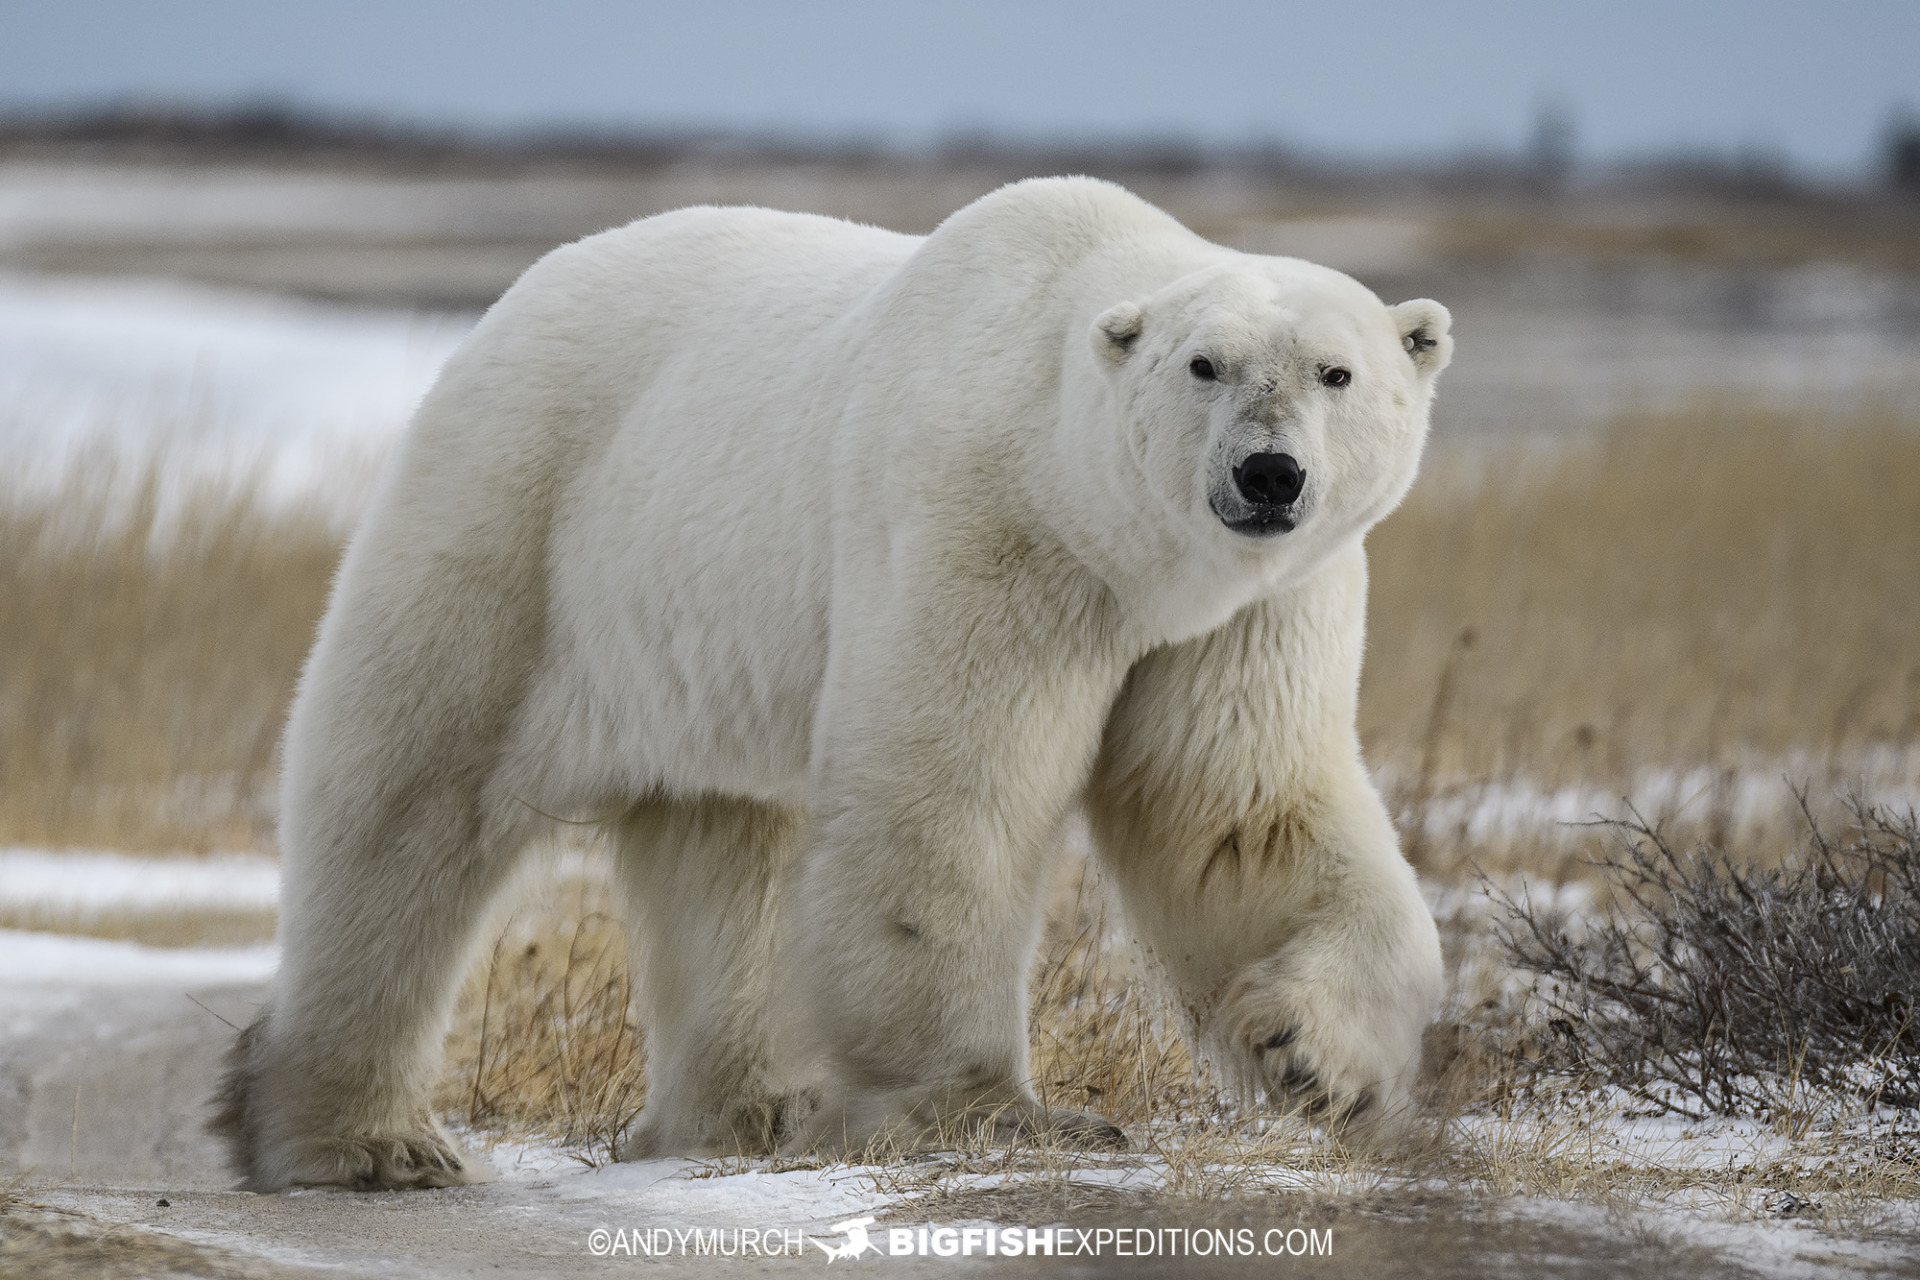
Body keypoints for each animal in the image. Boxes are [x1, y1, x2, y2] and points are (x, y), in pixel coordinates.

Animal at [210, 172, 1443, 1189]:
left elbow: (1238, 811)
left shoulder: (1243, 608)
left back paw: (747, 1110)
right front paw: (991, 1111)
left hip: (702, 645)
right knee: (409, 796)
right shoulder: (983, 528)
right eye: (1204, 365)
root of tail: (510, 302)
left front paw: (1317, 1056)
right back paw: (364, 1141)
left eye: (1337, 372)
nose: (1269, 474)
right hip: (518, 518)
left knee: (727, 845)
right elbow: (947, 797)